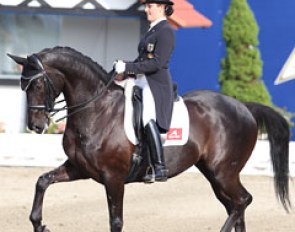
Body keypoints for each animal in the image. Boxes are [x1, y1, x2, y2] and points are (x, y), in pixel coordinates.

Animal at [8, 45, 292, 232]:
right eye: (22, 84)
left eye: (38, 84)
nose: (36, 125)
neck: (97, 110)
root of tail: (244, 107)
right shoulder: (80, 168)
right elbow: (42, 181)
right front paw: (39, 224)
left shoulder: (113, 177)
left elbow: (116, 221)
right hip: (215, 174)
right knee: (236, 206)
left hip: (224, 172)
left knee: (241, 202)